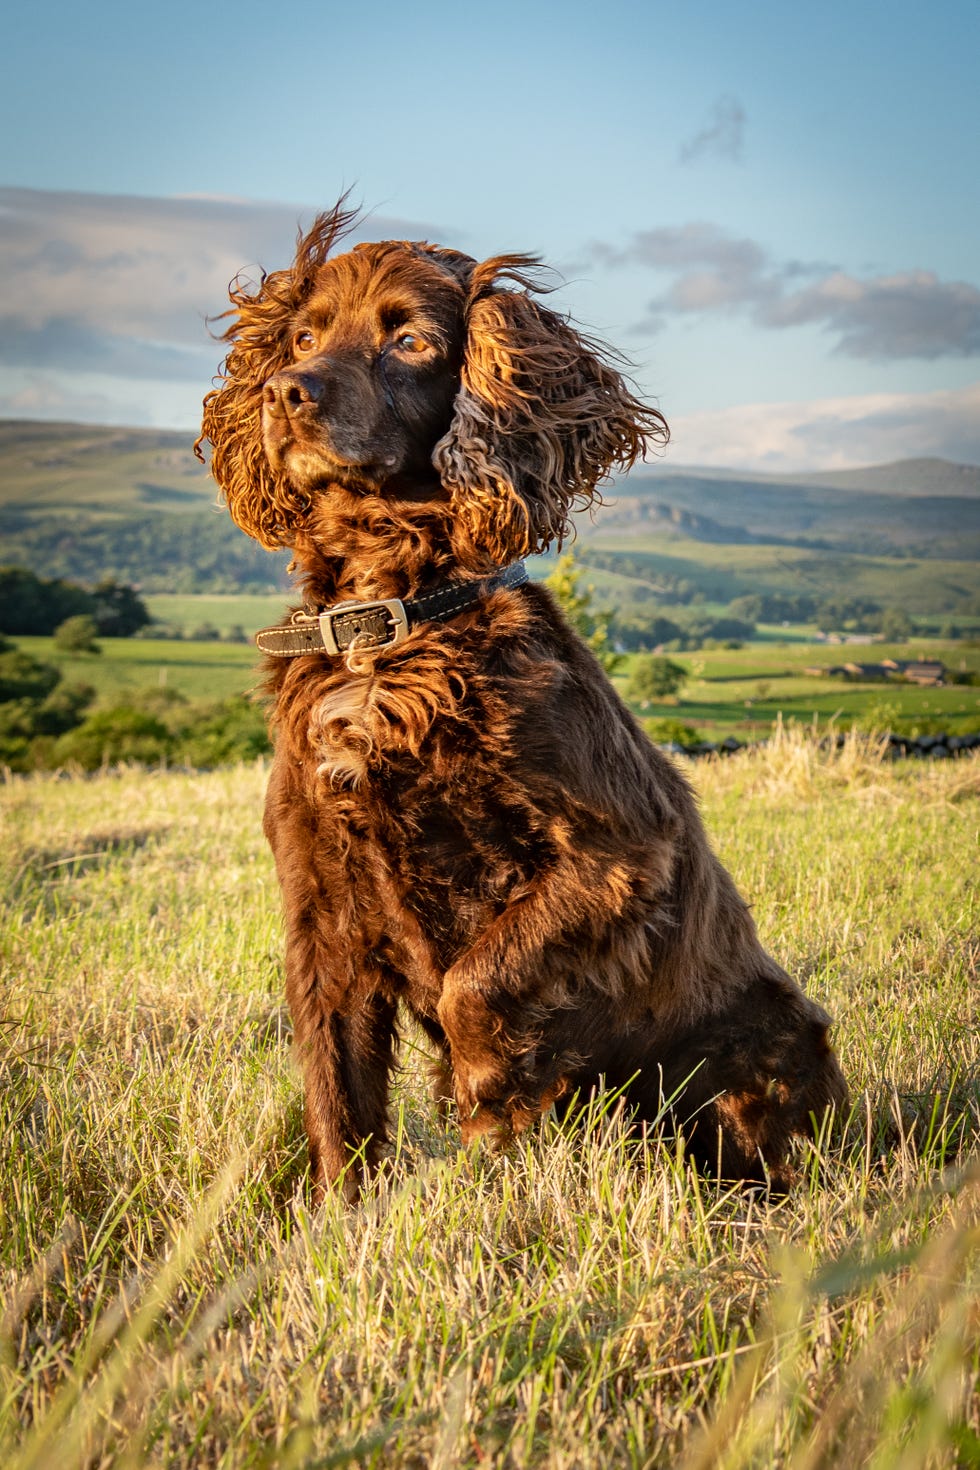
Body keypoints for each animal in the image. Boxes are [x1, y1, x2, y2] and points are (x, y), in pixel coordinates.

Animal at [195, 201, 846, 1199]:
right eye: (303, 337)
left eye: (411, 341)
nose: (285, 395)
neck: (391, 629)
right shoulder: (321, 902)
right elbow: (337, 1095)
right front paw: (343, 1220)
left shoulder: (619, 857)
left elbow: (476, 985)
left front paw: (490, 1116)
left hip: (762, 1043)